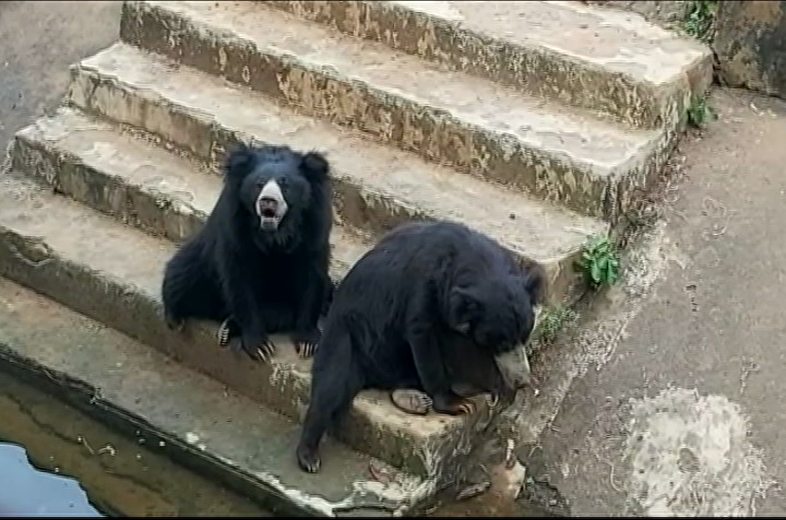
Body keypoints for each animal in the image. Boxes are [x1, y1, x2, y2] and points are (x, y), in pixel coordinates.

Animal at [159, 142, 330, 362]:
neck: (274, 233)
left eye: (285, 183)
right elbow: (238, 275)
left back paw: (228, 327)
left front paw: (308, 343)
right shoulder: (234, 225)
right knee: (182, 275)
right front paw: (260, 346)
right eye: (259, 183)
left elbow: (312, 275)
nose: (268, 201)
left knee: (279, 313)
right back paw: (176, 318)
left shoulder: (314, 226)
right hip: (200, 263)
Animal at [294, 219, 544, 472]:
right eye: (502, 342)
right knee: (331, 384)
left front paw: (500, 389)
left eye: (524, 336)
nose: (522, 380)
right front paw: (458, 403)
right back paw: (309, 454)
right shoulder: (423, 286)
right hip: (352, 335)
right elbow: (422, 334)